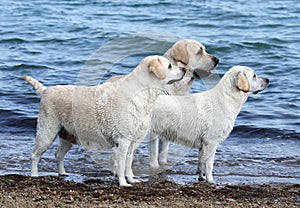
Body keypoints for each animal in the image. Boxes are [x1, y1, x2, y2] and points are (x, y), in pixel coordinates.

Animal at [22, 55, 185, 187]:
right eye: (170, 66)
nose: (184, 68)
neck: (143, 93)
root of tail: (46, 90)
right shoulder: (123, 141)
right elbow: (121, 165)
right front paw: (123, 183)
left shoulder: (132, 142)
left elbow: (128, 164)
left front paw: (132, 179)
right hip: (47, 132)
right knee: (34, 155)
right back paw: (34, 175)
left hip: (67, 135)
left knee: (58, 155)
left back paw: (63, 173)